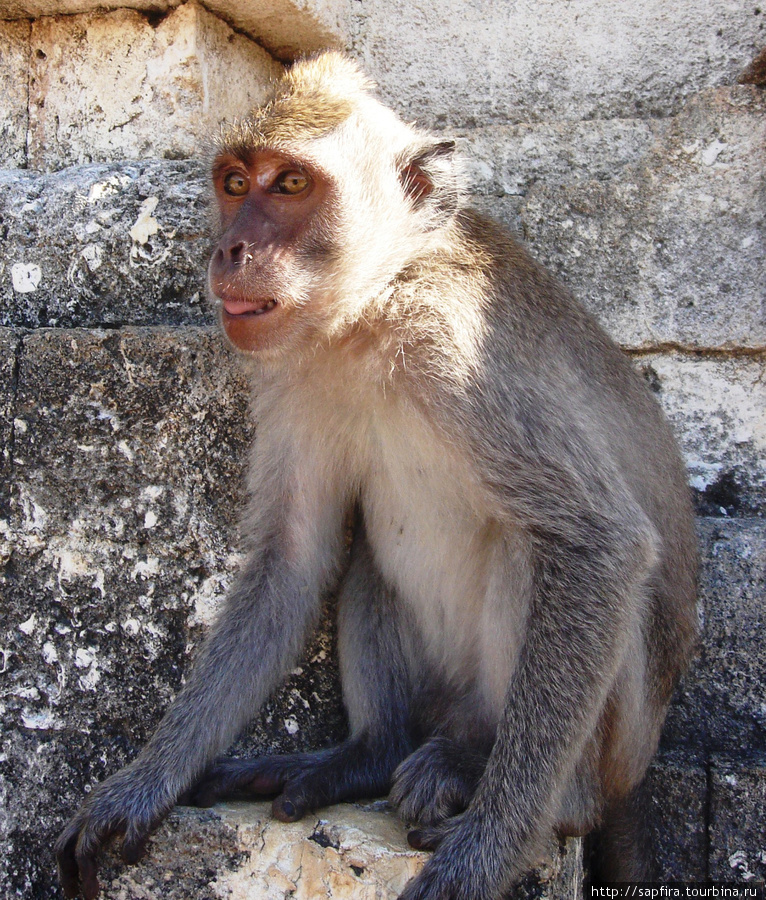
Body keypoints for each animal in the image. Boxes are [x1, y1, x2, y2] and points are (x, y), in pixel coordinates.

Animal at [57, 51, 700, 900]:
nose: (228, 250)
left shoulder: (459, 352)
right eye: (235, 182)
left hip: (613, 731)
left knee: (533, 551)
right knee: (368, 552)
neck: (373, 310)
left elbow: (600, 544)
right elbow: (294, 557)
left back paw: (525, 788)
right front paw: (145, 783)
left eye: (291, 184)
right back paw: (365, 754)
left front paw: (482, 855)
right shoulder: (294, 374)